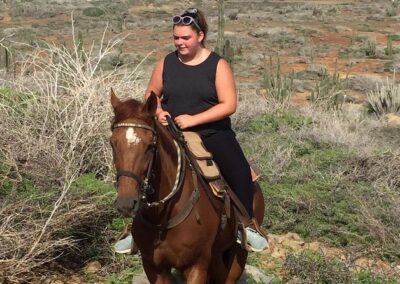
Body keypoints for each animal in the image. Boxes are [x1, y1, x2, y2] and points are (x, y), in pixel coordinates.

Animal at [109, 90, 266, 282]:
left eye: (150, 145)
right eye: (112, 143)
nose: (126, 203)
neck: (162, 218)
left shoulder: (196, 266)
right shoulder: (154, 267)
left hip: (238, 253)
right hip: (216, 256)